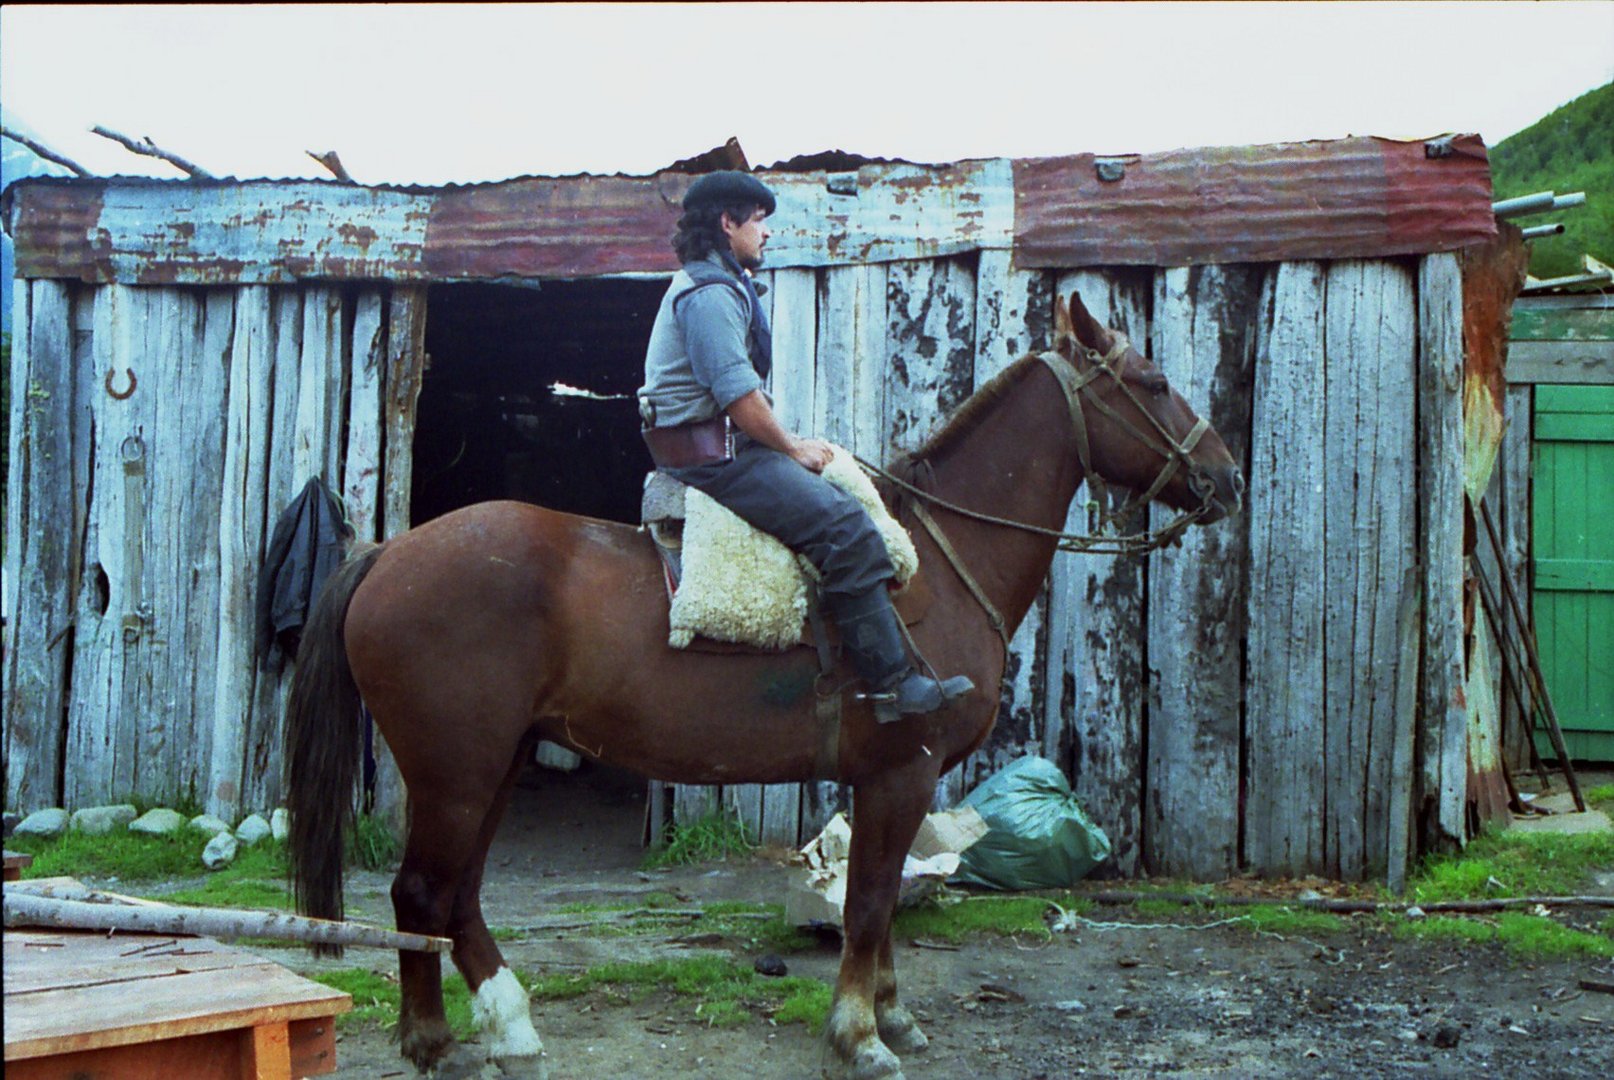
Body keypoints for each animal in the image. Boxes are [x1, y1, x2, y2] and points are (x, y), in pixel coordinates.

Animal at [284, 290, 1239, 1071]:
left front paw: (891, 1016)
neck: (936, 557)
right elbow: (869, 904)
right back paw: (435, 1044)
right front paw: (859, 1034)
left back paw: (509, 1026)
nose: (1224, 475)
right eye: (1153, 380)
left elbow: (881, 904)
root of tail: (386, 554)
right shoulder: (901, 772)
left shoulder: (894, 782)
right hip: (456, 770)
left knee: (459, 898)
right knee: (420, 893)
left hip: (498, 762)